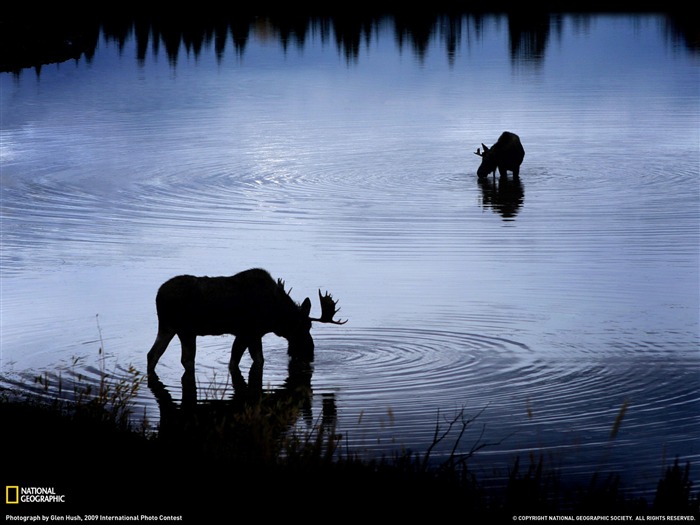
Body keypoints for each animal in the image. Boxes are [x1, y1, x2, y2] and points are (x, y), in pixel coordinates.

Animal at [146, 268, 348, 374]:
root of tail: (158, 296)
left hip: (167, 327)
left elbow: (254, 359)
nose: (310, 351)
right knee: (186, 359)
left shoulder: (253, 335)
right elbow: (240, 361)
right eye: (302, 327)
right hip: (186, 330)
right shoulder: (246, 333)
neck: (275, 316)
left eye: (310, 325)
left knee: (153, 354)